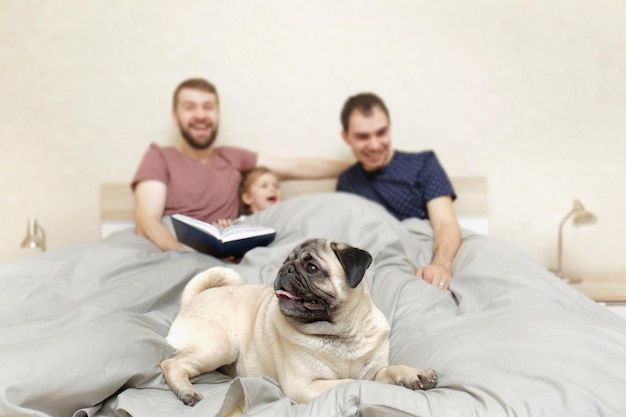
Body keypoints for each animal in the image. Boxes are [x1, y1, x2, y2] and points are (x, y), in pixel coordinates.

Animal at [160, 239, 434, 404]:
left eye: (312, 268)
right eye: (285, 262)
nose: (286, 269)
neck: (342, 333)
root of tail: (192, 299)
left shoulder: (375, 368)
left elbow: (386, 371)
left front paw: (414, 374)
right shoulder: (304, 385)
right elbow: (354, 381)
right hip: (219, 346)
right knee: (170, 364)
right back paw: (187, 391)